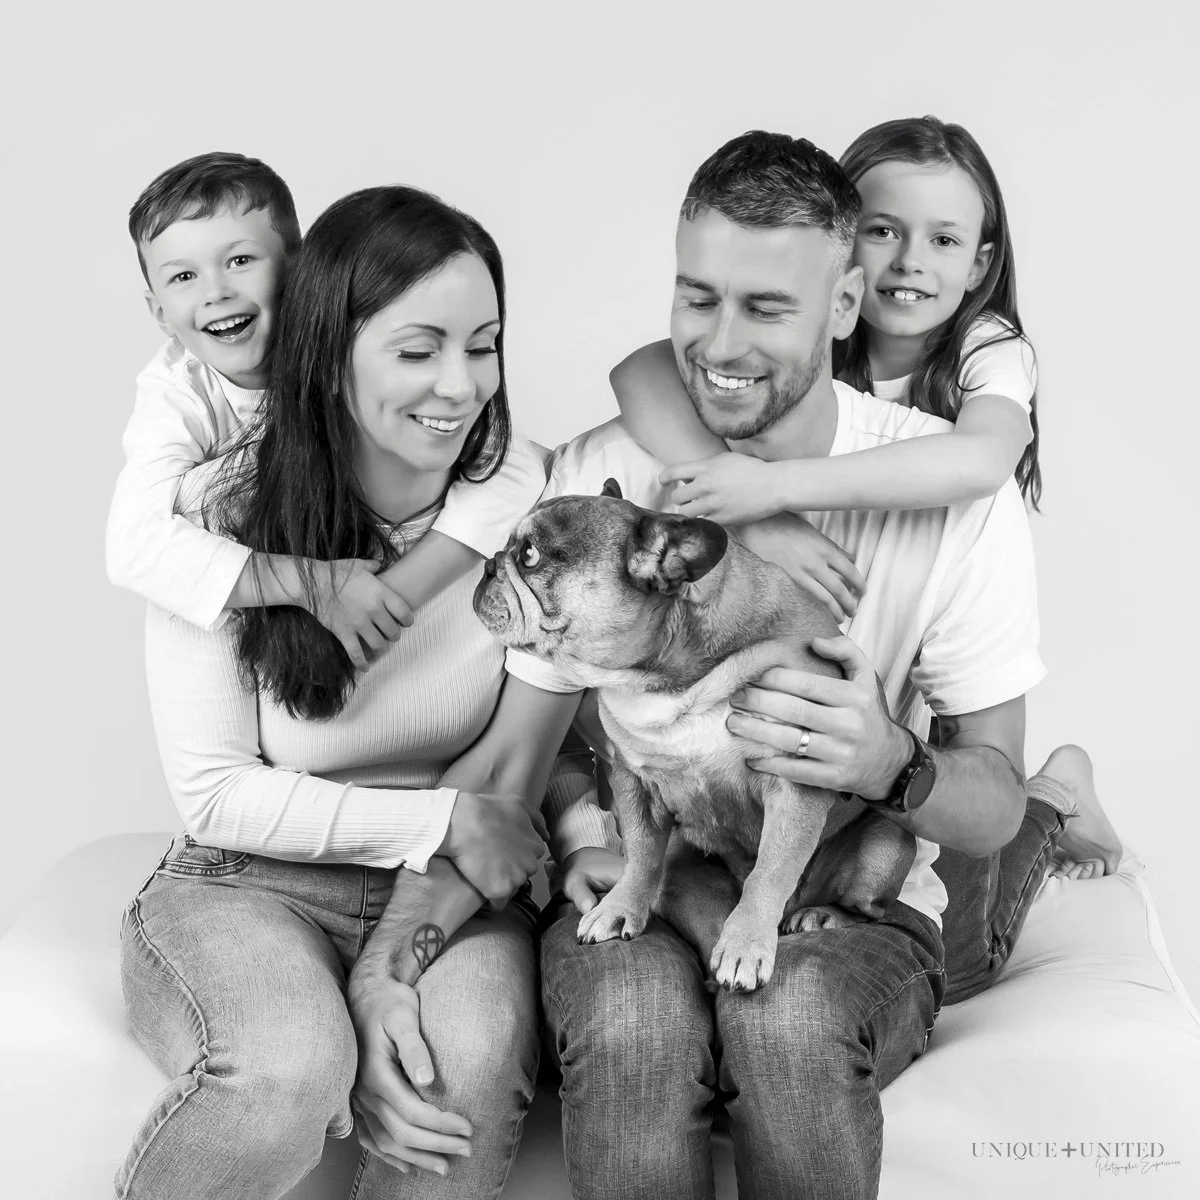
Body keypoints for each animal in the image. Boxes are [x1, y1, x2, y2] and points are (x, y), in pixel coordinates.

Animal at [474, 479, 916, 991]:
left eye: (529, 555)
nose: (487, 565)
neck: (670, 679)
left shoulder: (794, 786)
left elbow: (772, 869)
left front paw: (747, 943)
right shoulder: (633, 781)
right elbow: (641, 855)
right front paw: (620, 907)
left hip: (886, 847)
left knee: (868, 909)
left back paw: (820, 916)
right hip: (686, 869)